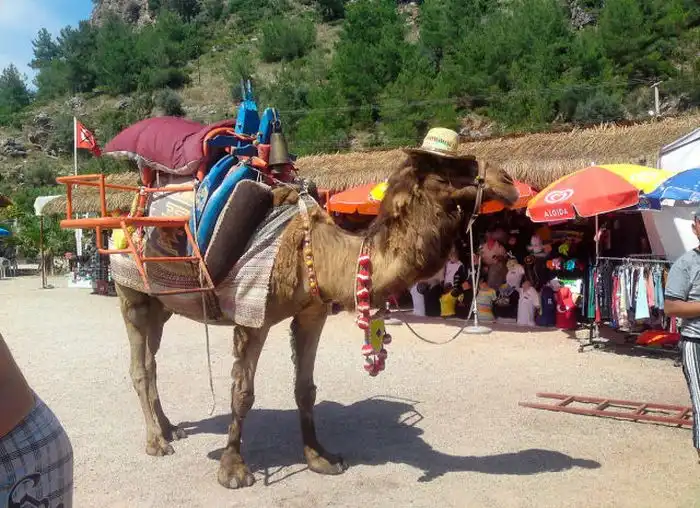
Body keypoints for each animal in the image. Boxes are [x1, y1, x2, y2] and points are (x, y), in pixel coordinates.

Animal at [113, 140, 519, 490]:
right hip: (132, 296)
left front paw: (320, 458)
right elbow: (242, 393)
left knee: (150, 361)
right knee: (139, 366)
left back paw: (170, 428)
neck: (319, 254)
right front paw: (233, 470)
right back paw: (156, 441)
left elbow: (305, 389)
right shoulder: (251, 314)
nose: (509, 181)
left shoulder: (312, 312)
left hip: (161, 306)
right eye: (447, 171)